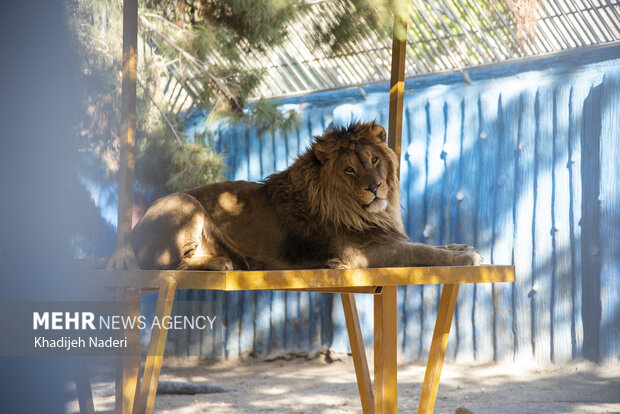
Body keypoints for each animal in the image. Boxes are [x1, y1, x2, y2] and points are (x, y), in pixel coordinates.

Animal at [122, 121, 480, 270]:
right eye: (349, 170)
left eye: (374, 161)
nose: (375, 186)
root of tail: (129, 236)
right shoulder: (361, 254)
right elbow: (423, 251)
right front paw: (466, 258)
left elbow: (433, 245)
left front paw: (462, 247)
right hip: (187, 203)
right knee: (167, 266)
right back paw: (224, 263)